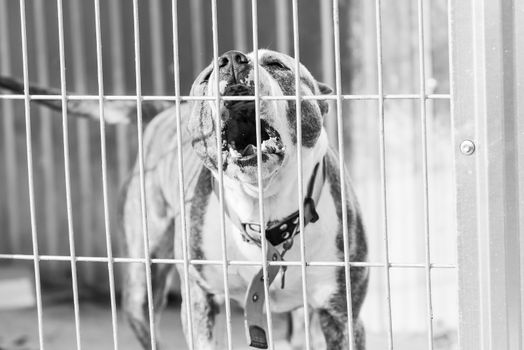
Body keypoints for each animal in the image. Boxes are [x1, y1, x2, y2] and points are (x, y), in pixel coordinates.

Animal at [0, 47, 368, 348]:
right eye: (206, 76)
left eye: (277, 65)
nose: (231, 60)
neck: (262, 209)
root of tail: (165, 111)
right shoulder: (198, 301)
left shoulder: (343, 315)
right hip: (142, 282)